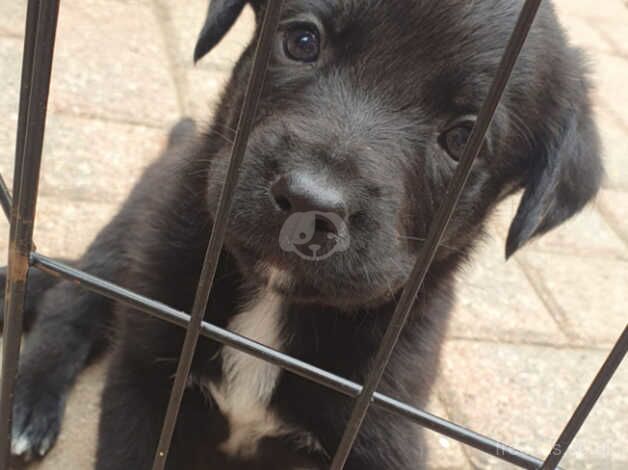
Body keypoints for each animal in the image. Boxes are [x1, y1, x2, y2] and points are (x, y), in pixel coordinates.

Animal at [0, 0, 604, 470]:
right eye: (302, 41)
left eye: (463, 139)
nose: (310, 203)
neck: (273, 306)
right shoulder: (143, 380)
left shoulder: (377, 432)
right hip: (134, 232)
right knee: (71, 303)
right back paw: (27, 404)